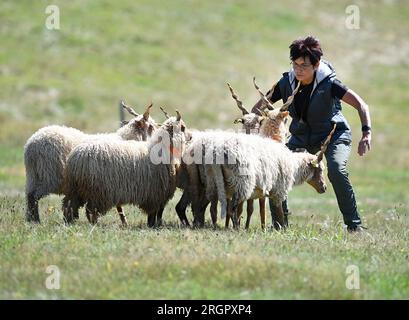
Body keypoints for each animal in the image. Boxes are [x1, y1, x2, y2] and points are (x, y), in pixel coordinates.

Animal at [24, 102, 156, 222]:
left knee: (29, 195)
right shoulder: (114, 182)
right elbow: (119, 207)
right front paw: (124, 222)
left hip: (33, 176)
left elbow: (119, 207)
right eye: (151, 127)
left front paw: (124, 222)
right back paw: (36, 220)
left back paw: (31, 220)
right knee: (34, 196)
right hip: (49, 176)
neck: (126, 138)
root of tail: (31, 145)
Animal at [62, 111, 190, 226]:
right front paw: (152, 225)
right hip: (97, 191)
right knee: (90, 210)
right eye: (183, 128)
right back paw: (93, 223)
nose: (191, 137)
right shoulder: (155, 193)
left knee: (69, 205)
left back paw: (69, 221)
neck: (162, 148)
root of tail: (76, 158)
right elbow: (153, 213)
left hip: (75, 188)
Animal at [184, 123, 334, 230]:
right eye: (320, 169)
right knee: (232, 208)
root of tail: (219, 152)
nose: (324, 188)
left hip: (212, 181)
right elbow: (279, 212)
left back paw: (215, 226)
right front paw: (281, 229)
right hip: (242, 182)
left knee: (213, 207)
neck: (294, 166)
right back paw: (235, 228)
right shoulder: (278, 190)